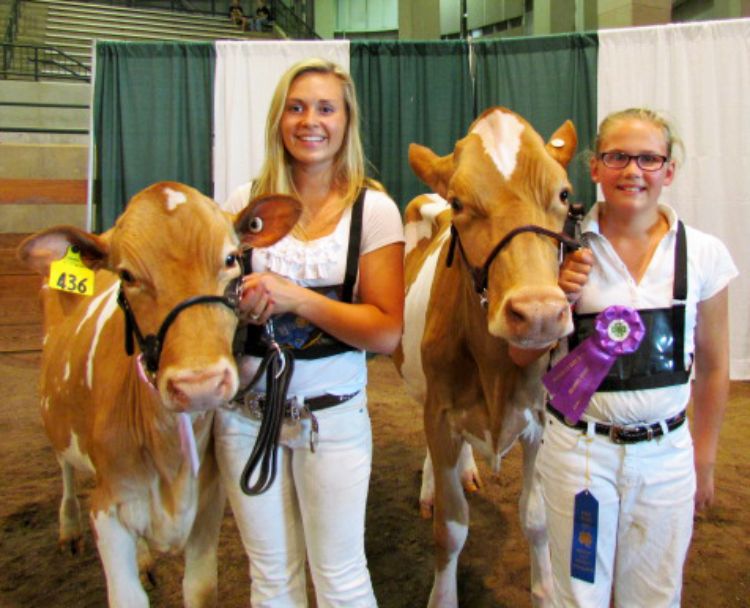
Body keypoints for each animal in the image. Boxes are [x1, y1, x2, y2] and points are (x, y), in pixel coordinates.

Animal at [18, 183, 300, 608]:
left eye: (231, 258)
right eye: (127, 275)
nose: (200, 382)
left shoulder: (208, 501)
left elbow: (200, 589)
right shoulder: (108, 508)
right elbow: (126, 598)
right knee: (64, 463)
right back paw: (68, 529)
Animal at [396, 107, 580, 604]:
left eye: (564, 193)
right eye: (460, 202)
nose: (539, 312)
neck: (496, 371)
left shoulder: (540, 419)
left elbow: (536, 517)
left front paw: (546, 591)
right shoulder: (440, 413)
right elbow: (450, 529)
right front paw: (442, 597)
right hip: (417, 383)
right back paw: (431, 485)